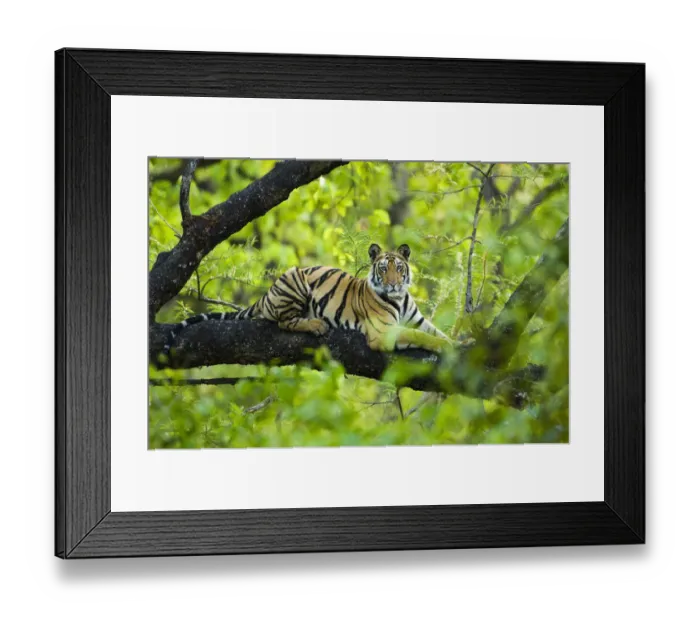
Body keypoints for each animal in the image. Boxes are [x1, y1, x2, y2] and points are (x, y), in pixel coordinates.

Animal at [162, 243, 456, 359]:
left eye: (399, 268)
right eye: (383, 269)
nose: (393, 283)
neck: (398, 298)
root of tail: (266, 295)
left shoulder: (417, 319)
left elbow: (434, 332)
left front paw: (458, 343)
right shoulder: (383, 333)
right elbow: (418, 336)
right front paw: (444, 347)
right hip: (295, 281)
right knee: (285, 322)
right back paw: (316, 325)